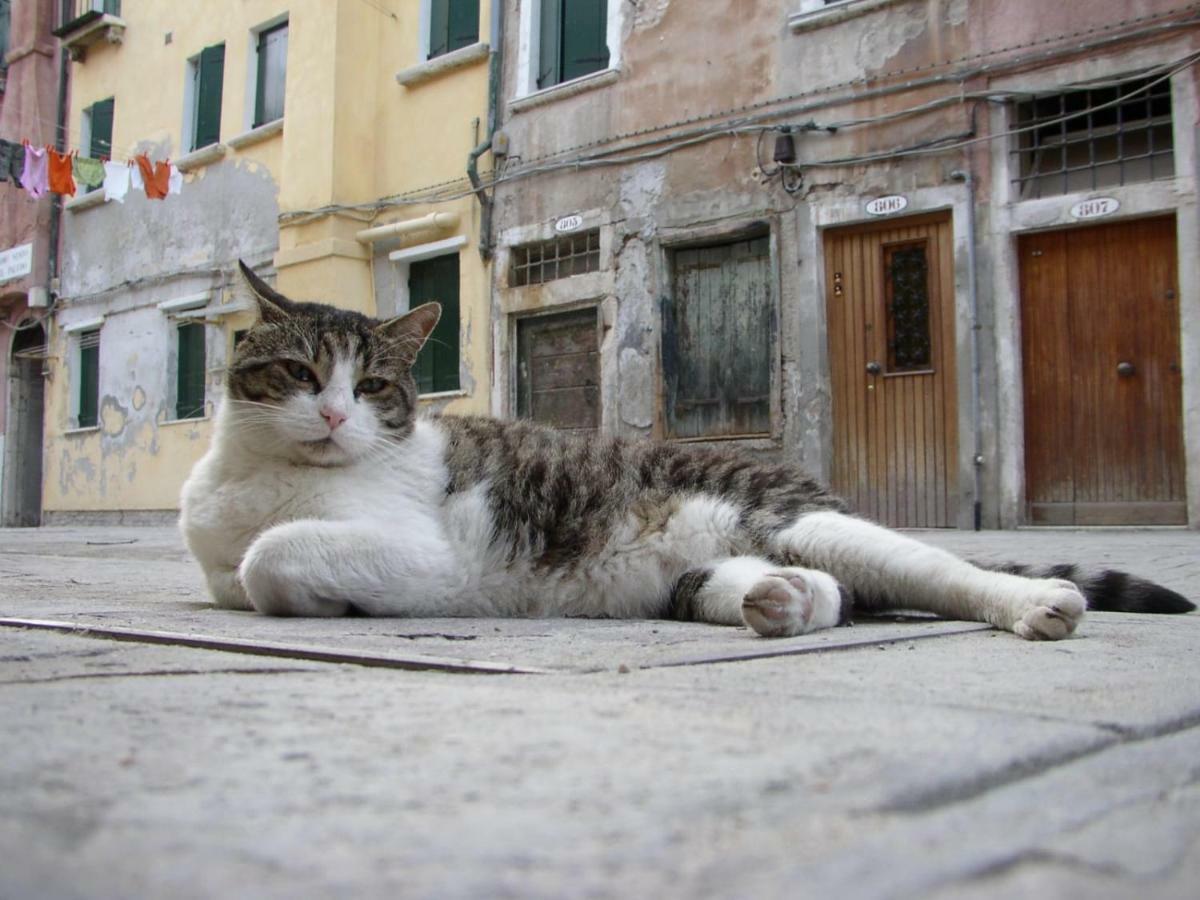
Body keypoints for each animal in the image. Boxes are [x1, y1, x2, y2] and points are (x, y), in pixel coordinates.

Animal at [175, 260, 1190, 643]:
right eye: (303, 372)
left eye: (373, 386)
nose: (335, 416)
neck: (266, 480)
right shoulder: (215, 562)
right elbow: (240, 575)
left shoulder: (420, 555)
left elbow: (271, 559)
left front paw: (323, 591)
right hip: (698, 569)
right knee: (829, 593)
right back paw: (783, 601)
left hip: (804, 518)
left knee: (938, 573)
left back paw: (1033, 604)